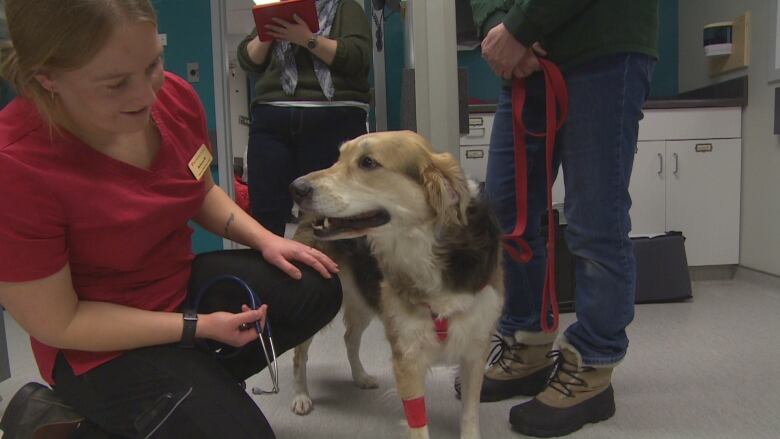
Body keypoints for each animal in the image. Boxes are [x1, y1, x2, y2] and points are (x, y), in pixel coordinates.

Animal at [290, 131, 502, 439]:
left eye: (367, 162)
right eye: (339, 157)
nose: (295, 188)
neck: (423, 249)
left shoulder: (475, 350)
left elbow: (470, 413)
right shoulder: (407, 356)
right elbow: (418, 425)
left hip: (363, 300)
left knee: (350, 338)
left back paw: (360, 377)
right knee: (300, 355)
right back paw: (301, 396)